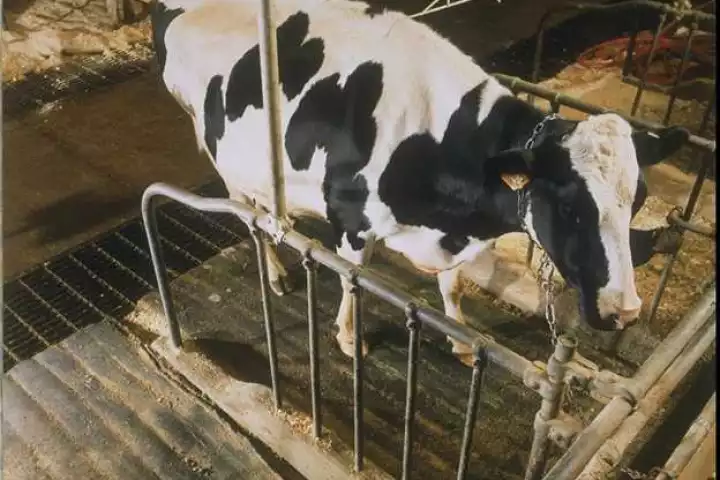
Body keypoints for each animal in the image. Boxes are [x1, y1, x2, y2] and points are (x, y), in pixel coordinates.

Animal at [150, 0, 688, 363]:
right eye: (570, 207)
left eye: (638, 200)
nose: (626, 312)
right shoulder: (351, 220)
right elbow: (352, 282)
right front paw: (350, 339)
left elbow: (453, 287)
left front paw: (461, 339)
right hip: (216, 146)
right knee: (244, 208)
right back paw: (278, 272)